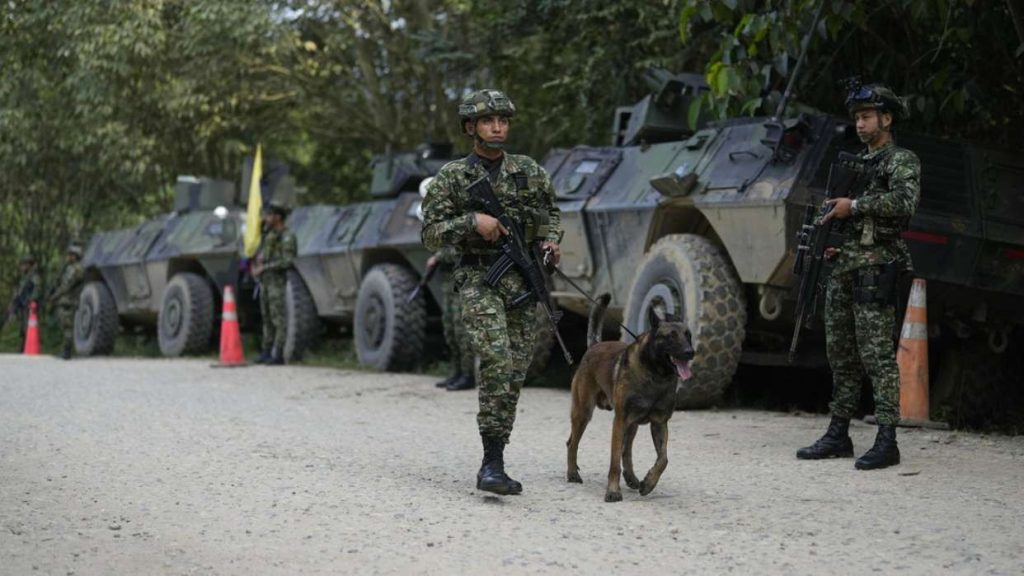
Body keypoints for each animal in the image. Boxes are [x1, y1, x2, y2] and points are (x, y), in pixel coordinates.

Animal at [569, 293, 696, 500]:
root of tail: (594, 346)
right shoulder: (620, 422)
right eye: (671, 336)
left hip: (632, 425)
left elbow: (663, 459)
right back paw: (572, 473)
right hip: (583, 414)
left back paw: (632, 478)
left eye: (689, 336)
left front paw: (649, 483)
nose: (690, 352)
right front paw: (613, 491)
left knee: (627, 452)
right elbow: (614, 462)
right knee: (572, 443)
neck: (656, 376)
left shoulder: (659, 424)